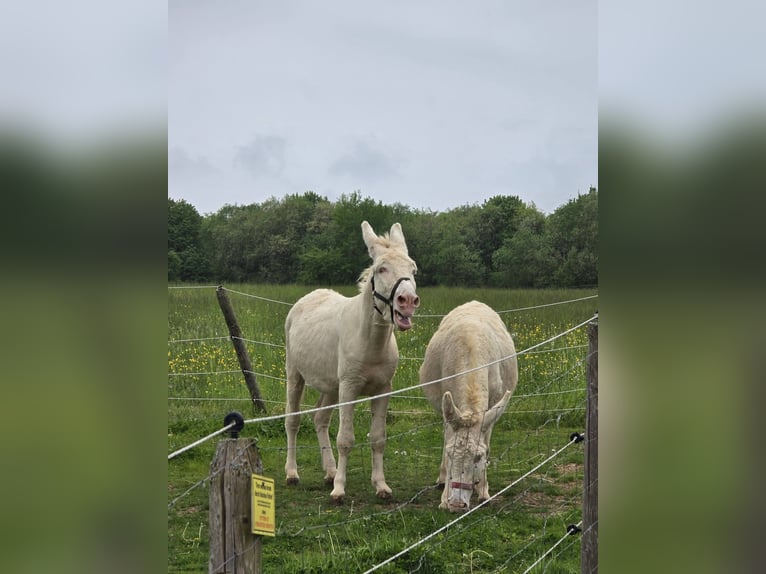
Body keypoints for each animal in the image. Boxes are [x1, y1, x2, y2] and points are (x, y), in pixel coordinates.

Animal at [284, 221, 420, 503]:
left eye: (413, 270)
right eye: (381, 268)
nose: (408, 302)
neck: (371, 341)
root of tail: (309, 297)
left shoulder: (383, 389)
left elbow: (378, 438)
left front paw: (381, 486)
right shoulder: (349, 388)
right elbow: (345, 439)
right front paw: (339, 490)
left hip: (330, 386)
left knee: (319, 419)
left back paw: (329, 471)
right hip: (295, 375)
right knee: (292, 420)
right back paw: (292, 473)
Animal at [419, 300, 518, 512]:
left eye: (478, 457)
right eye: (450, 455)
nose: (457, 504)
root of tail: (474, 302)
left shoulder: (490, 410)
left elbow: (487, 444)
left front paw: (483, 491)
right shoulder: (449, 406)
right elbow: (447, 439)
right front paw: (444, 496)